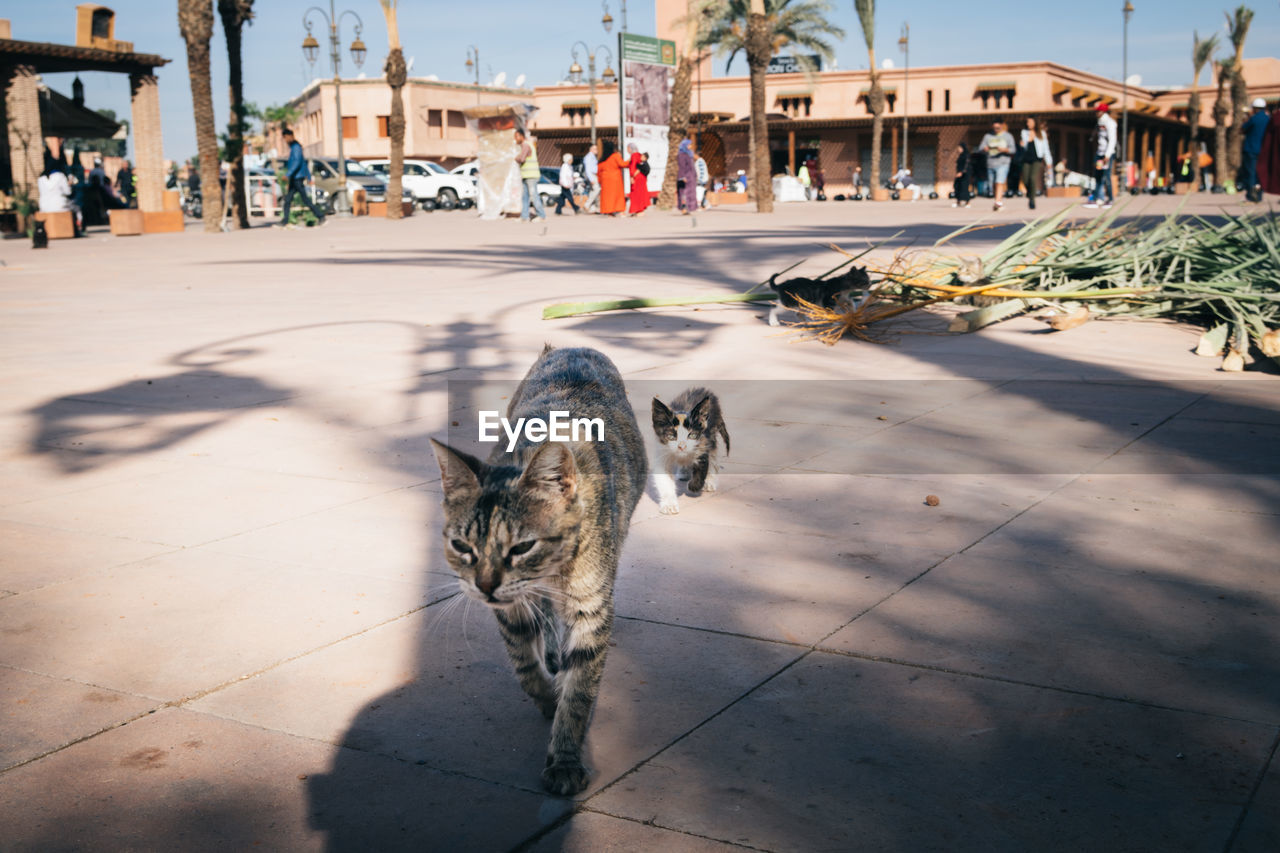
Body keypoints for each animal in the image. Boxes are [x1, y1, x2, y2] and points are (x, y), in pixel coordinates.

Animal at [432, 343, 650, 794]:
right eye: (462, 546)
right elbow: (522, 660)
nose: (485, 587)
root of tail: (571, 347)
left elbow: (580, 688)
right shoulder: (512, 606)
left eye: (522, 547)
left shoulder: (591, 607)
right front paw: (547, 696)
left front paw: (565, 756)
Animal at [650, 384, 732, 512]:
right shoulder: (662, 450)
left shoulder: (702, 443)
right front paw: (669, 504)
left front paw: (695, 486)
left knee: (713, 455)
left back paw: (710, 481)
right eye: (671, 436)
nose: (682, 446)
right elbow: (664, 480)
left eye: (692, 435)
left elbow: (702, 466)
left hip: (711, 434)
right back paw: (683, 471)